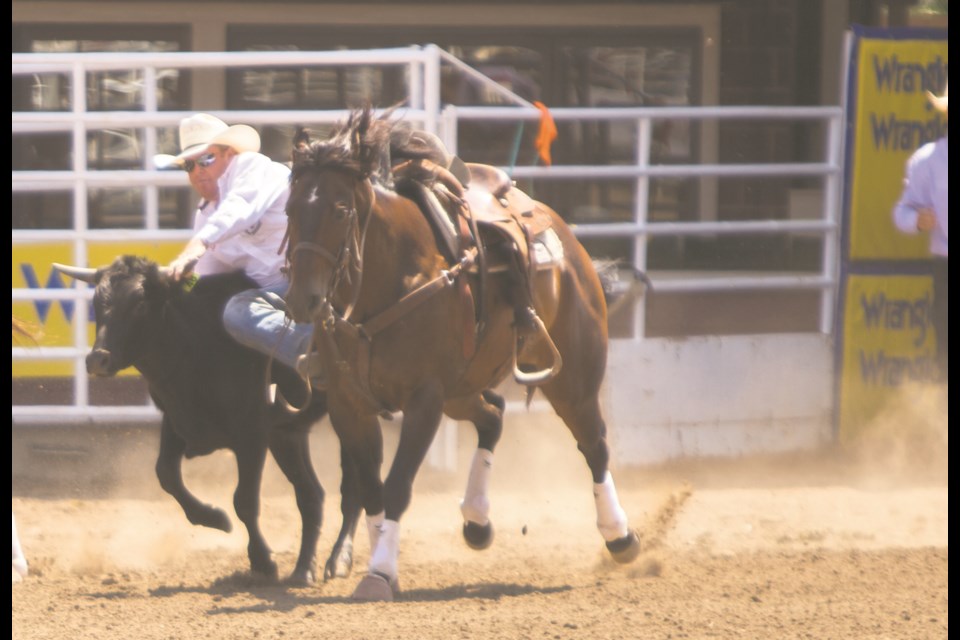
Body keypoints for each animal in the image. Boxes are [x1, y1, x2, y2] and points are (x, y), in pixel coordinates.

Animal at [286, 107, 636, 604]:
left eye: (339, 210)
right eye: (290, 209)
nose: (304, 300)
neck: (393, 279)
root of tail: (568, 242)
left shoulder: (425, 400)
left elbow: (396, 487)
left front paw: (380, 573)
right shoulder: (348, 404)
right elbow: (371, 489)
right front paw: (380, 560)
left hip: (572, 380)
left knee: (595, 444)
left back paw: (619, 535)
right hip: (462, 390)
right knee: (493, 415)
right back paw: (476, 519)